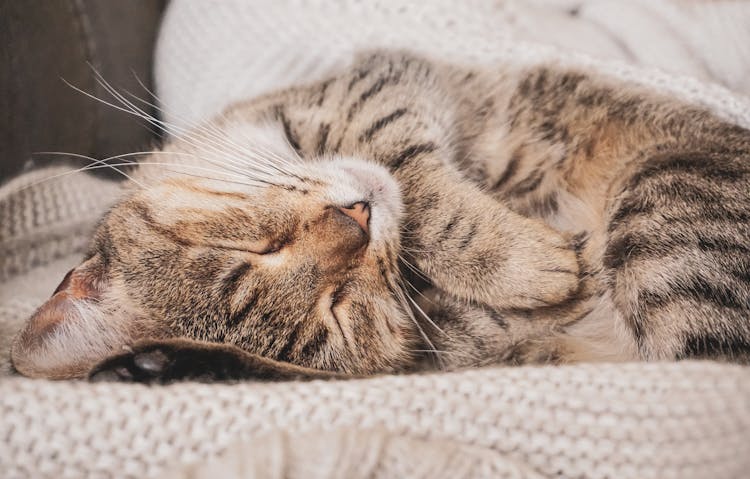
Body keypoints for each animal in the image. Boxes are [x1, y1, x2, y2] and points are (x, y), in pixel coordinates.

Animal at [10, 50, 750, 384]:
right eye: (340, 308)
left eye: (256, 248)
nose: (358, 219)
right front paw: (527, 263)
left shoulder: (383, 93)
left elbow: (422, 185)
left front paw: (522, 260)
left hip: (660, 212)